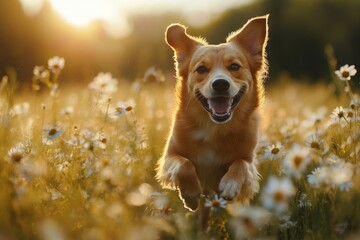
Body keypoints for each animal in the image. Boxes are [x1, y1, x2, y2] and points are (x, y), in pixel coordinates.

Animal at [156, 15, 268, 211]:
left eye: (234, 66)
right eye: (201, 69)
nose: (220, 84)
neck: (214, 126)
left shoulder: (250, 164)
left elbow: (241, 164)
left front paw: (230, 183)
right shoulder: (168, 157)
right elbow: (184, 164)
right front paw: (191, 194)